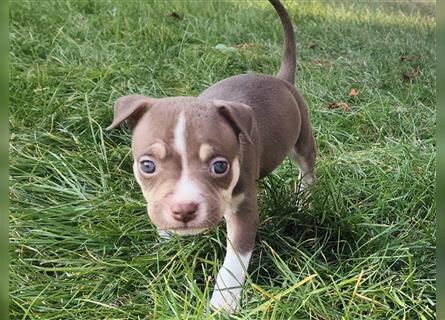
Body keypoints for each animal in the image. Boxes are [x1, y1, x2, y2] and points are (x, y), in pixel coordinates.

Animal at [106, 0, 316, 314]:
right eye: (147, 165)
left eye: (220, 167)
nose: (183, 210)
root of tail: (281, 79)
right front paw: (166, 246)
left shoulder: (244, 211)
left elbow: (234, 261)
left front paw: (223, 304)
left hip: (303, 138)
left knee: (307, 171)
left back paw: (304, 201)